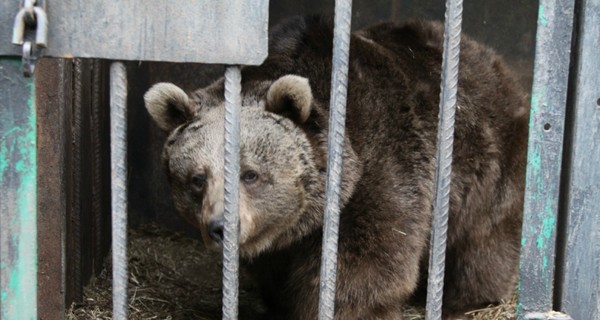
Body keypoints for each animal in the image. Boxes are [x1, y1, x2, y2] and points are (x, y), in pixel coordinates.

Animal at [143, 16, 528, 320]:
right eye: (196, 178)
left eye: (250, 174)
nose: (221, 226)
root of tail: (496, 60)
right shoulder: (278, 239)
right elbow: (275, 274)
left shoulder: (381, 170)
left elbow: (364, 269)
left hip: (489, 157)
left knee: (486, 238)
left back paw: (468, 301)